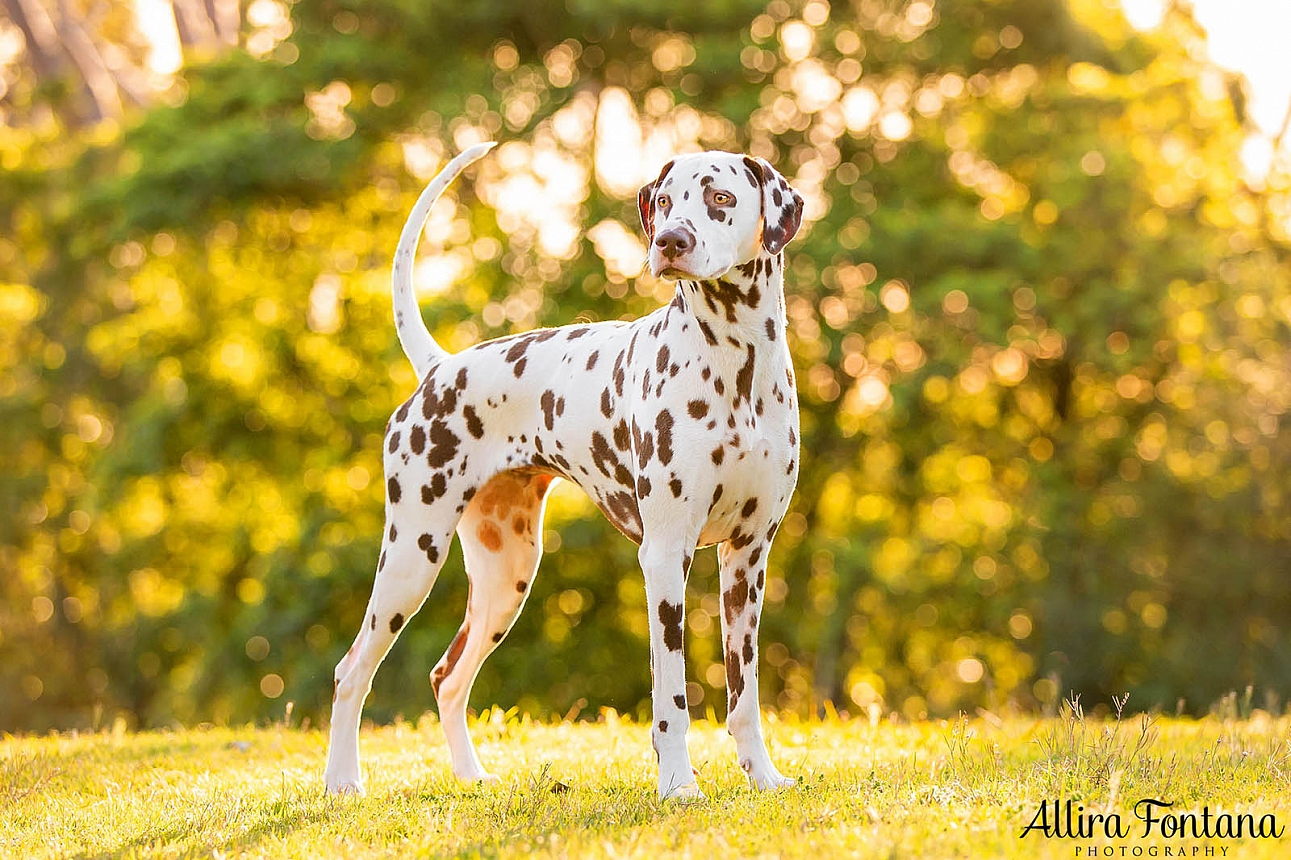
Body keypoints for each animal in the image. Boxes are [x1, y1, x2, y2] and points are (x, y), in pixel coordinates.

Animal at [325, 138, 805, 795]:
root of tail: (440, 367)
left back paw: (471, 776)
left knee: (447, 677)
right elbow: (672, 701)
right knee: (352, 671)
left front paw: (764, 778)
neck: (736, 361)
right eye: (664, 200)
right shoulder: (665, 556)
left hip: (507, 578)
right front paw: (679, 786)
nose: (670, 241)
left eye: (721, 197)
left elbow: (744, 697)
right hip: (410, 559)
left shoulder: (748, 557)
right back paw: (342, 783)